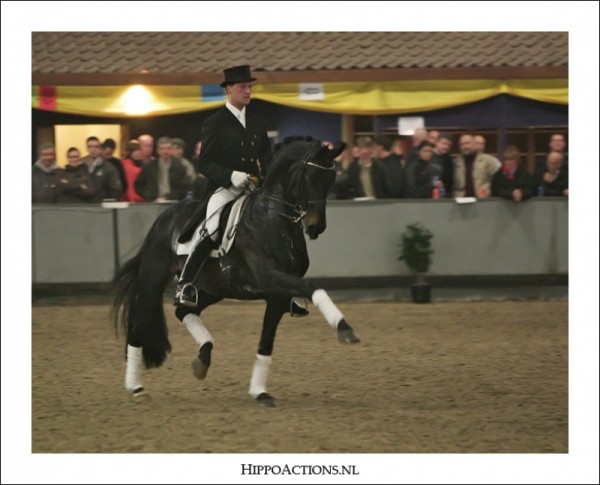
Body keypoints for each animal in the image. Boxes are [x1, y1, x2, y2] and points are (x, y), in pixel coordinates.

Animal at [112, 136, 358, 404]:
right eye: (311, 176)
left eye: (331, 179)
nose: (316, 227)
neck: (273, 219)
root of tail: (163, 219)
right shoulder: (269, 278)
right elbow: (312, 287)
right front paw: (345, 329)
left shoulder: (277, 296)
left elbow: (266, 342)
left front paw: (260, 392)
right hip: (153, 282)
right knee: (139, 325)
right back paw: (135, 386)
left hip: (212, 289)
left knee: (183, 311)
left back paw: (203, 358)